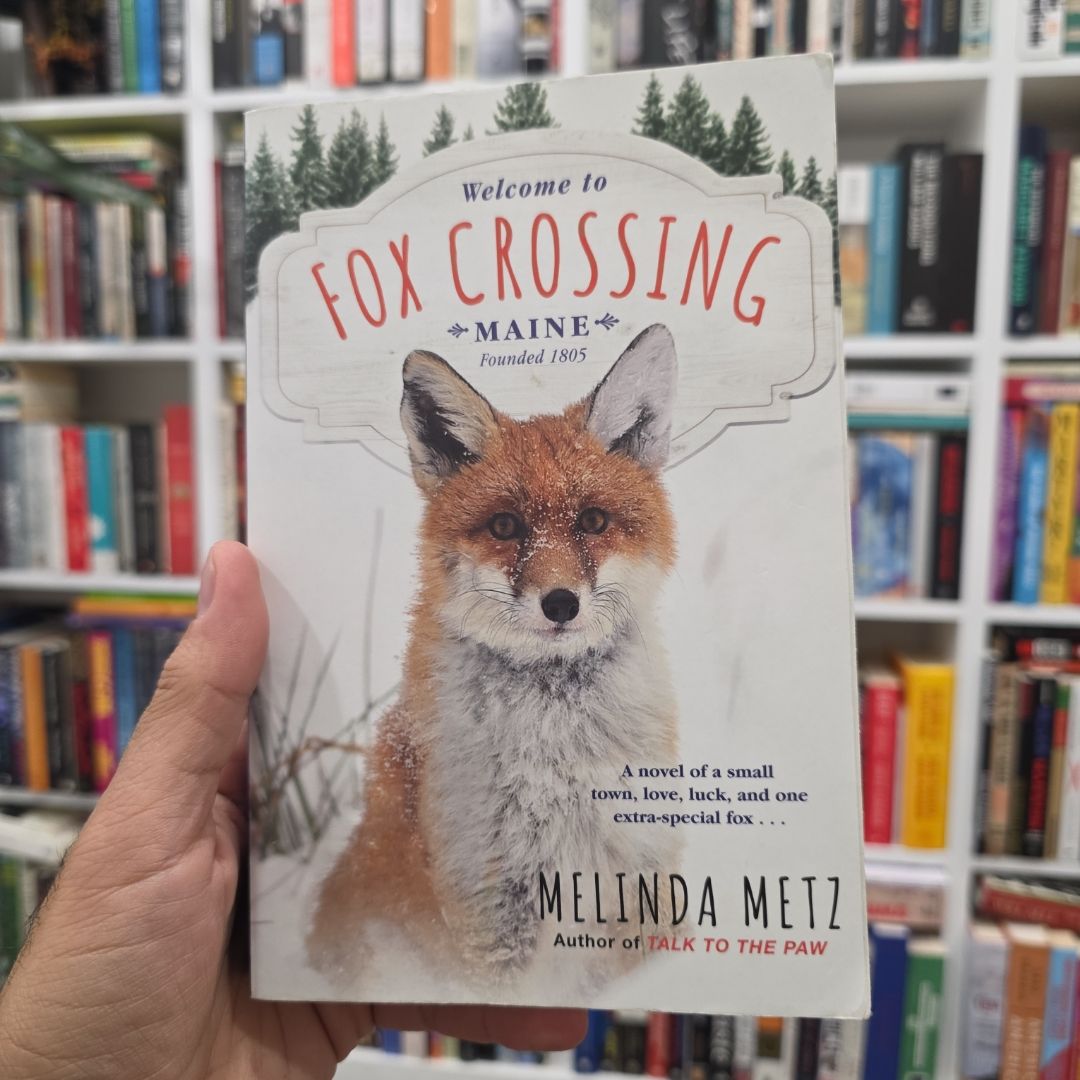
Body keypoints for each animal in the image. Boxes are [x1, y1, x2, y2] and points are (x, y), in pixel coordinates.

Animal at [306, 323, 682, 994]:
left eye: (593, 520)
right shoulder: (486, 901)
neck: (559, 765)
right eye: (505, 526)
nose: (560, 603)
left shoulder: (635, 880)